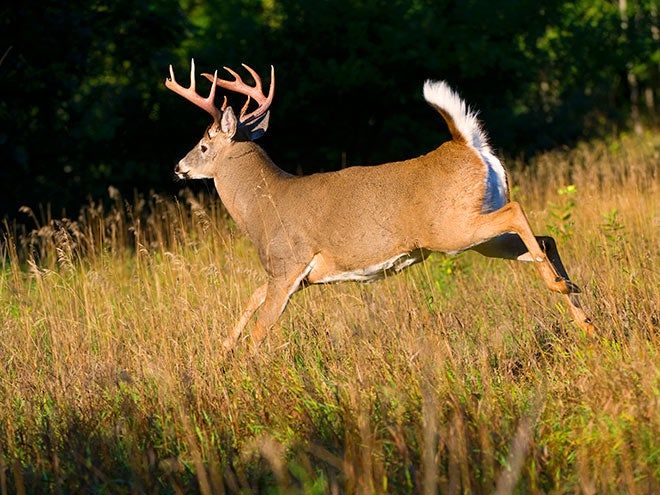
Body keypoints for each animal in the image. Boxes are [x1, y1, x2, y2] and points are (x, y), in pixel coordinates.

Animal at [164, 59, 596, 350]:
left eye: (203, 145)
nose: (178, 167)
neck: (262, 207)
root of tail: (467, 145)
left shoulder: (288, 265)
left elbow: (261, 327)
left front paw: (245, 368)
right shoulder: (287, 276)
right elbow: (252, 300)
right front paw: (224, 350)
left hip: (451, 228)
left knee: (518, 212)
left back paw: (561, 287)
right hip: (479, 233)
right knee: (544, 239)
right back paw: (584, 317)